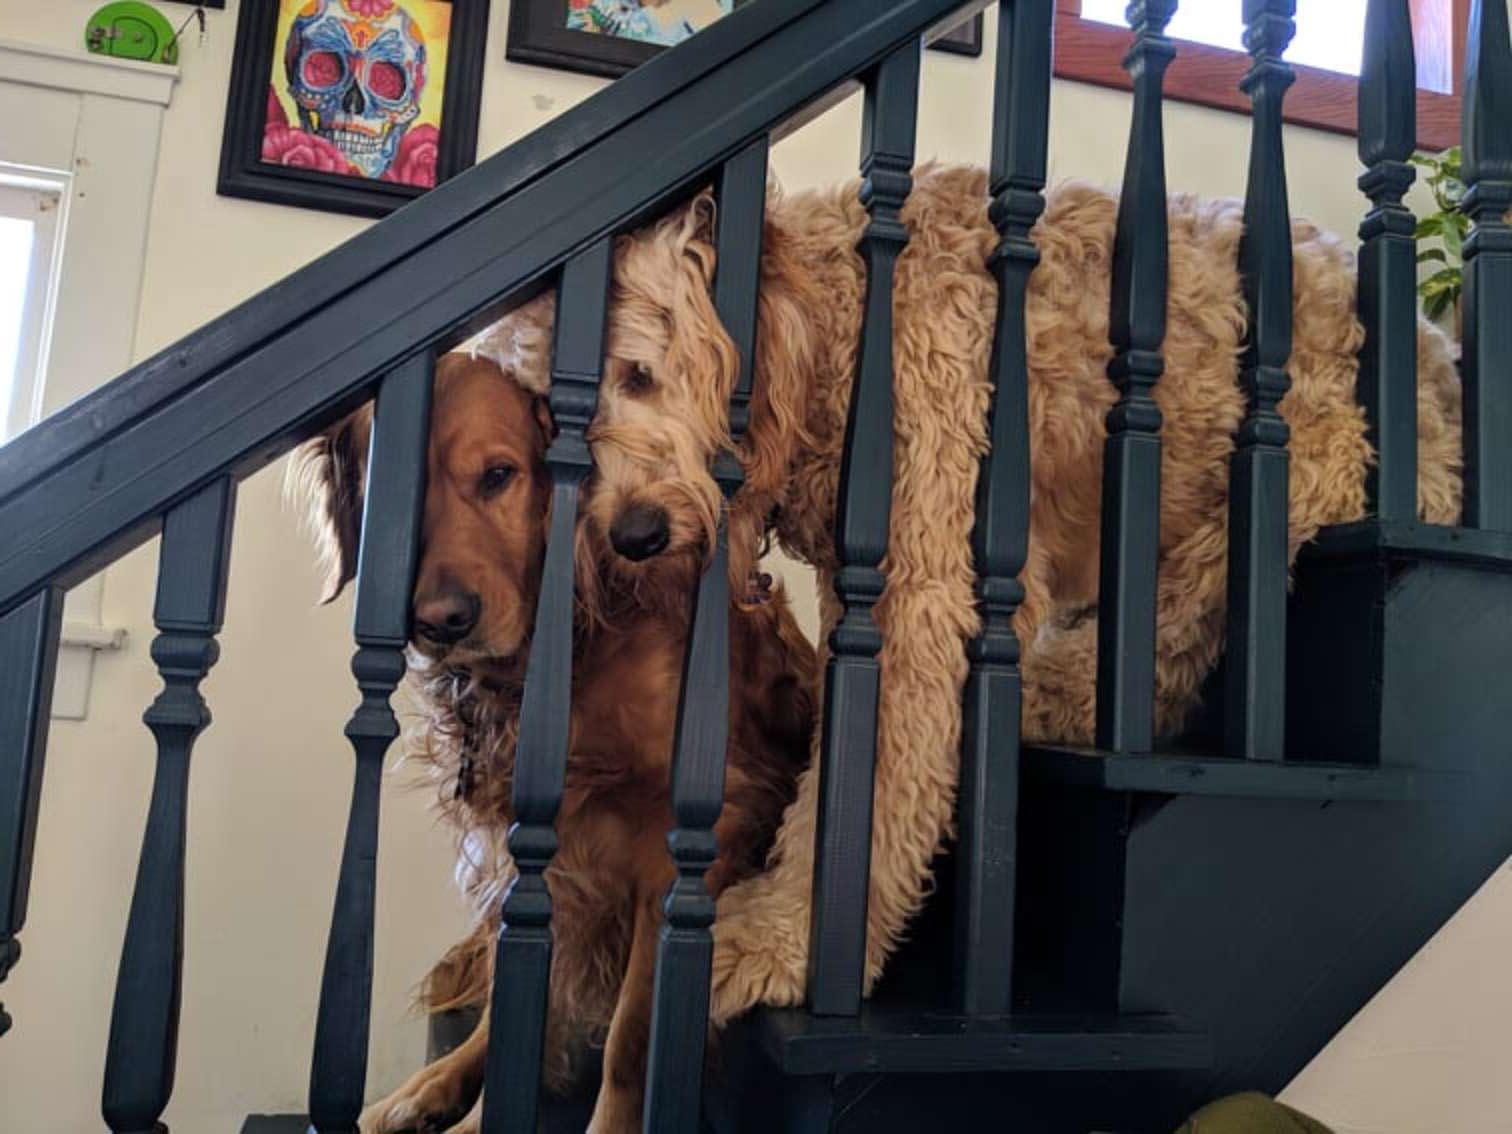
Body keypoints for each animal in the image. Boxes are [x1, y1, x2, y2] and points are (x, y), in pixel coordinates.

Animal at [292, 351, 816, 1132]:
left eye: (498, 476)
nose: (442, 620)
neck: (573, 644)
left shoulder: (689, 836)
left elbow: (629, 1035)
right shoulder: (531, 848)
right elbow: (517, 1005)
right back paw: (423, 1088)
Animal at [476, 166, 1464, 1030]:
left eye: (639, 373)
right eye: (558, 417)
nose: (634, 535)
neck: (838, 315)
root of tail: (1439, 348)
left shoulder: (922, 584)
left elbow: (869, 788)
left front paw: (780, 943)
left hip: (1305, 471)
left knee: (1185, 615)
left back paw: (1063, 689)